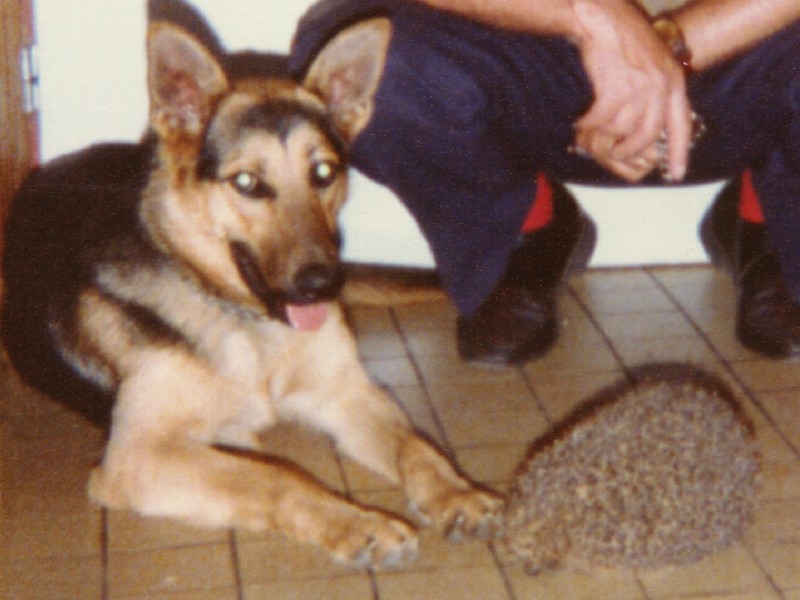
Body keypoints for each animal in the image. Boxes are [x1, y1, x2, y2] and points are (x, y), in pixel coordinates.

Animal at [1, 5, 502, 569]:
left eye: (323, 172)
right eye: (246, 183)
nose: (320, 285)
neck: (240, 313)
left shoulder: (347, 394)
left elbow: (416, 447)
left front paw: (456, 492)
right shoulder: (137, 456)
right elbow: (278, 481)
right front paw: (359, 525)